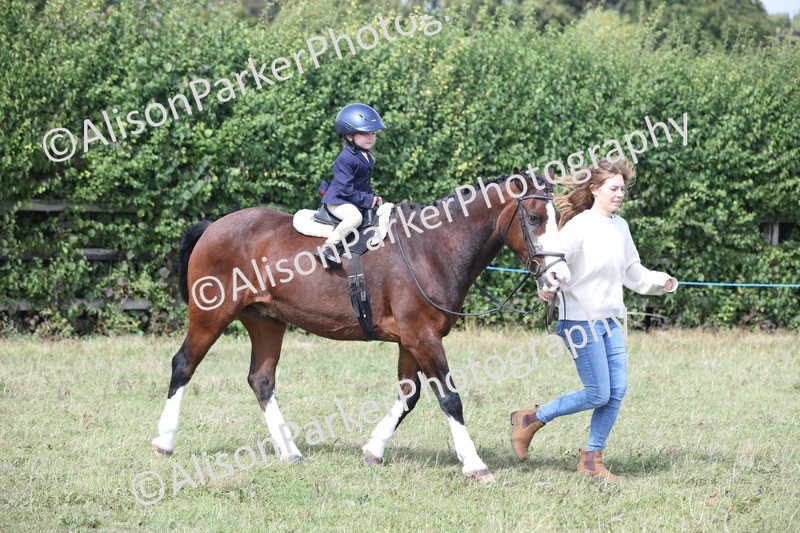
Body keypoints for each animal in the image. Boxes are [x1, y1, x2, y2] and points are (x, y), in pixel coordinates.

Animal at [150, 171, 571, 483]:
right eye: (534, 219)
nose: (558, 278)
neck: (432, 248)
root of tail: (213, 226)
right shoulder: (422, 336)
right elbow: (449, 398)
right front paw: (474, 464)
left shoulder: (410, 339)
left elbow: (409, 395)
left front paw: (373, 449)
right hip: (211, 316)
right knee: (183, 365)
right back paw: (164, 441)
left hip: (266, 321)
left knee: (261, 380)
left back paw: (290, 452)